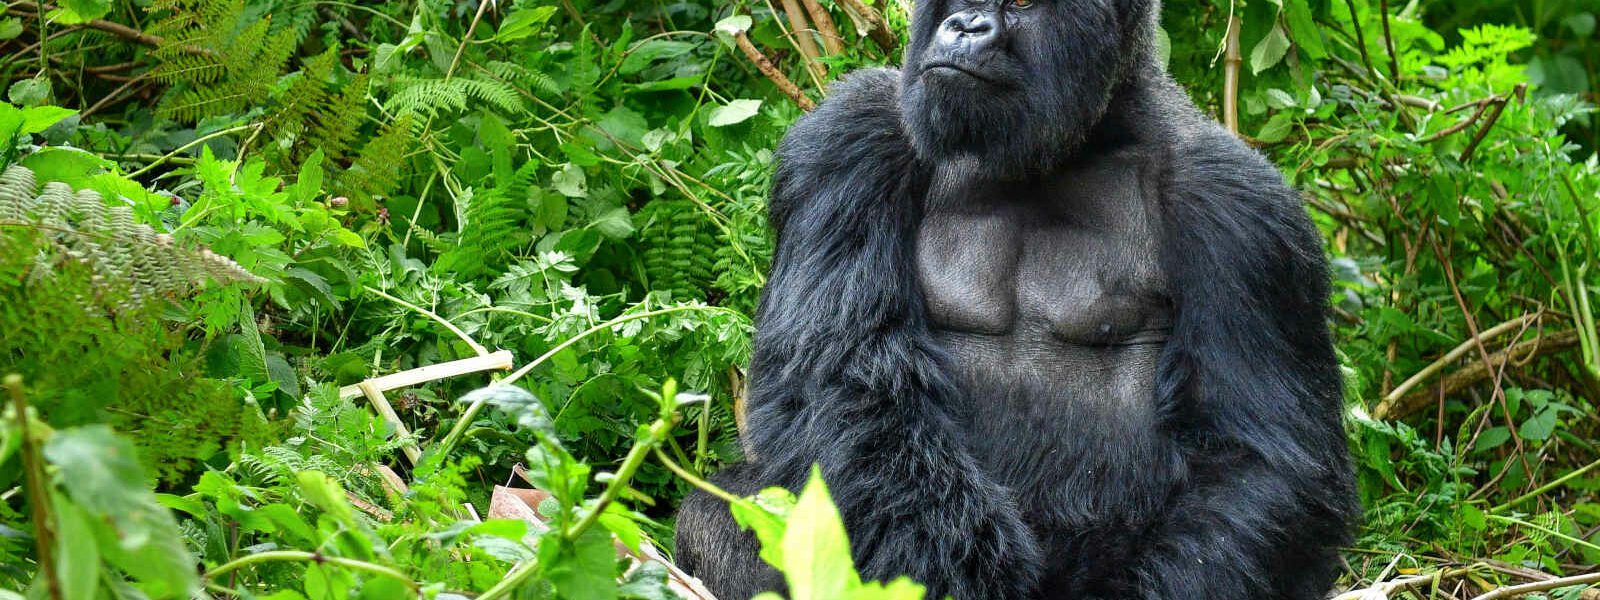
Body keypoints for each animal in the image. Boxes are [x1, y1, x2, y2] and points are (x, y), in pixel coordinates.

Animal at [668, 0, 1356, 598]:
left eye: (1022, 4)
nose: (966, 26)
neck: (1076, 142)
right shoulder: (851, 137)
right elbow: (840, 380)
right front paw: (956, 572)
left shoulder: (1241, 210)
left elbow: (1261, 461)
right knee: (722, 514)